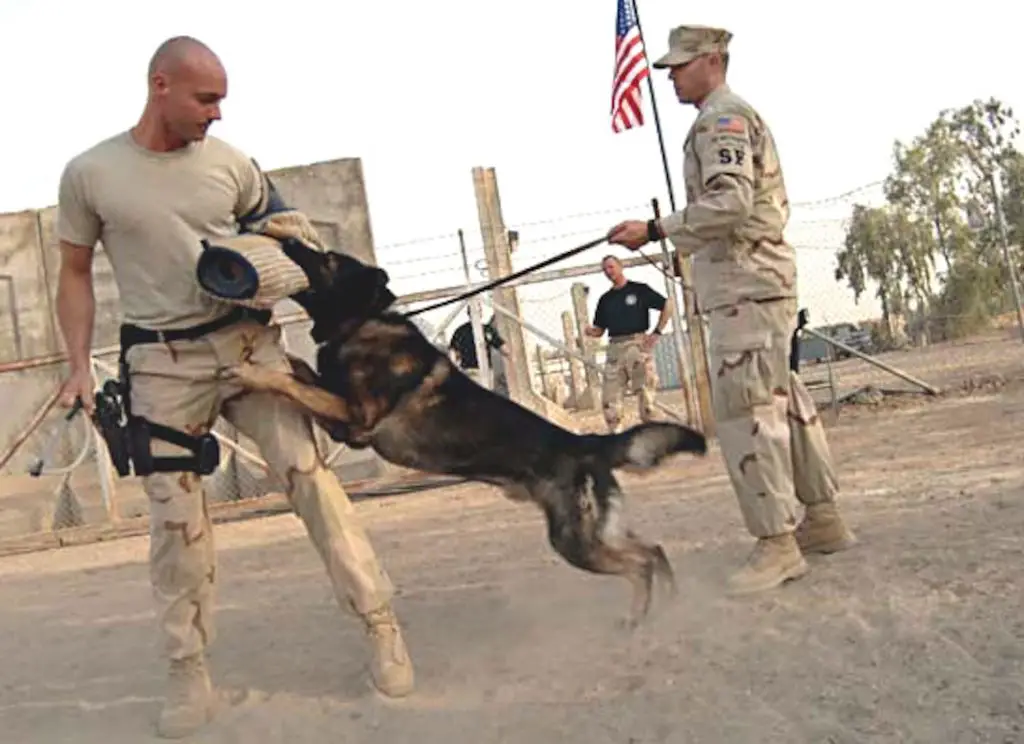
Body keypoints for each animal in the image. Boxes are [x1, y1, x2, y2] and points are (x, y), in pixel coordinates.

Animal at [225, 240, 708, 630]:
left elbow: (291, 383)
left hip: (574, 541)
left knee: (642, 562)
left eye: (324, 257)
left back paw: (641, 617)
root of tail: (586, 443)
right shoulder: (341, 411)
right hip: (595, 534)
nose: (285, 241)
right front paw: (272, 358)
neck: (363, 321)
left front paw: (247, 371)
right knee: (655, 549)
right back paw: (670, 604)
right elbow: (299, 372)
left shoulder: (353, 421)